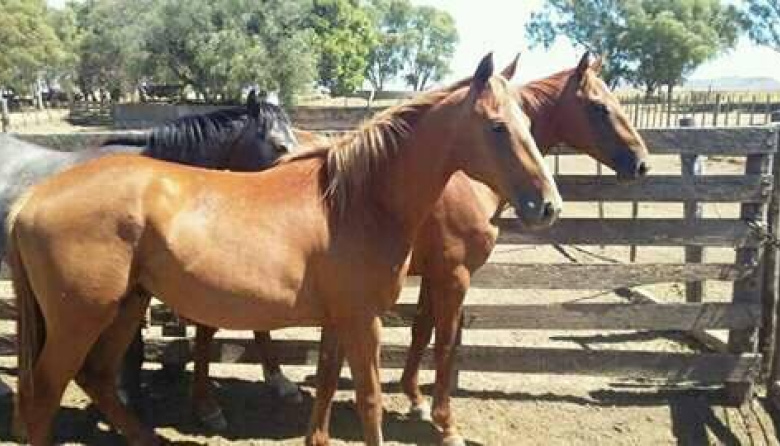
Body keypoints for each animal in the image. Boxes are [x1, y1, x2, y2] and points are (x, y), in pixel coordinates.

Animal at [9, 53, 560, 446]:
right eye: (497, 126)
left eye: (529, 123)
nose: (548, 206)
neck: (358, 199)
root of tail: (32, 199)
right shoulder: (364, 320)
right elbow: (368, 400)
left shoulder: (339, 319)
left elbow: (326, 388)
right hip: (82, 318)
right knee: (45, 394)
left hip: (127, 305)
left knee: (97, 378)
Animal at [186, 52, 651, 443]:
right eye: (599, 107)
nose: (642, 163)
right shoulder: (454, 273)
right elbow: (445, 342)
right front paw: (445, 423)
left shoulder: (433, 272)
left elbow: (421, 330)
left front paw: (414, 398)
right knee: (208, 327)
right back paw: (208, 407)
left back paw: (276, 382)